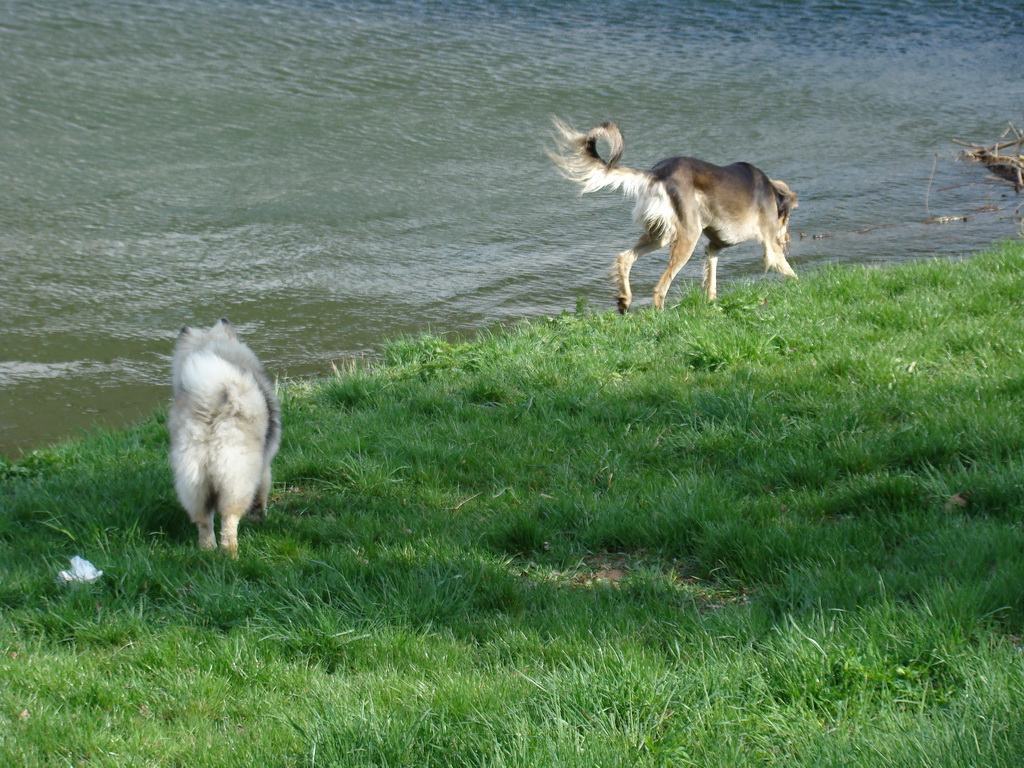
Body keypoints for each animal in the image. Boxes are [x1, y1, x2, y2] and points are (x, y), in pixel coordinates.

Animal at [552, 118, 798, 311]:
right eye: (788, 219)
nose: (787, 240)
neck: (772, 193)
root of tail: (658, 173)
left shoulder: (715, 246)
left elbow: (711, 280)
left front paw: (712, 305)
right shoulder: (770, 246)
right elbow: (789, 271)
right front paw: (798, 288)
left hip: (662, 234)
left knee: (625, 257)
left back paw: (625, 300)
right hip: (688, 234)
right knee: (660, 287)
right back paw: (659, 314)